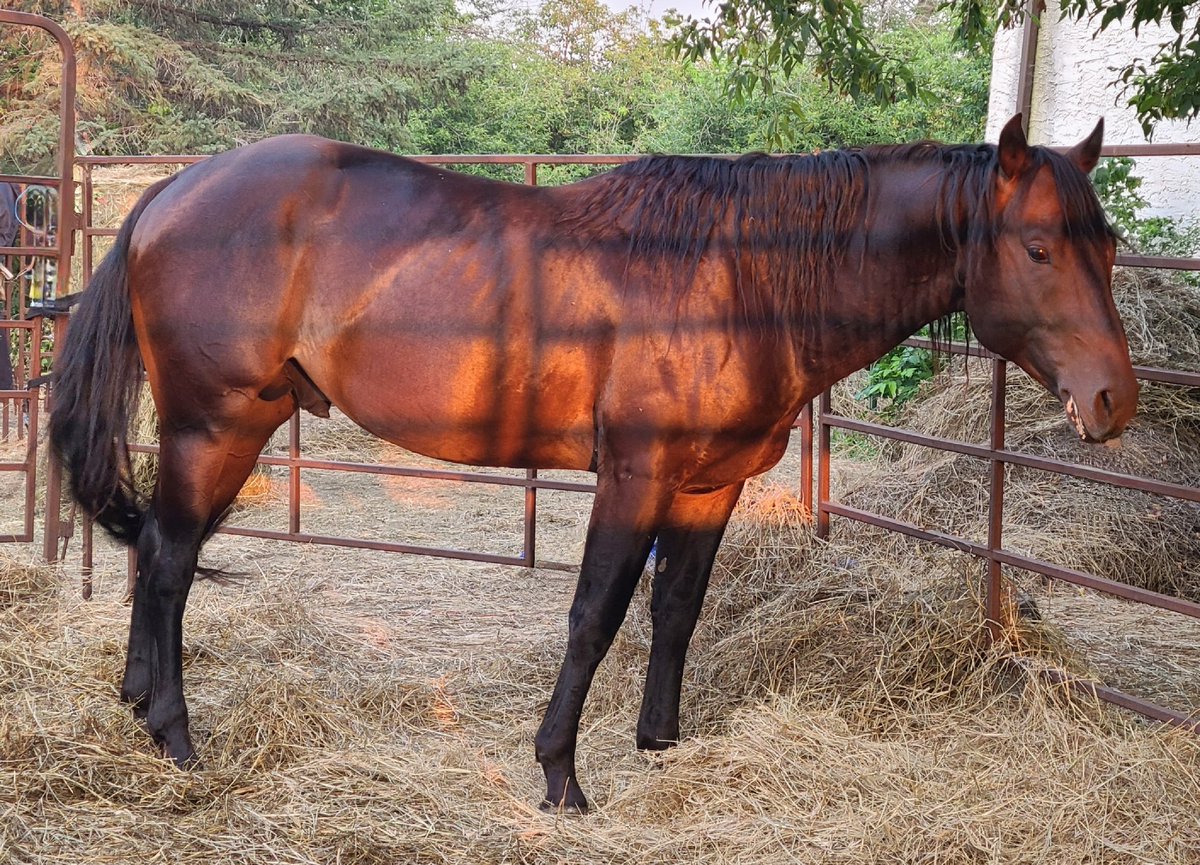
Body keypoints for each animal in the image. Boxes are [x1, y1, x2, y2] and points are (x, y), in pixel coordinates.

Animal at [48, 114, 1137, 811]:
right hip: (216, 424)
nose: (1113, 401)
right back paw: (177, 738)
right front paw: (560, 774)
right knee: (172, 560)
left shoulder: (709, 482)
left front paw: (661, 743)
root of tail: (170, 192)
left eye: (1109, 243)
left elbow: (675, 611)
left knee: (158, 552)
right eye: (1039, 246)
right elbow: (595, 615)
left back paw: (137, 704)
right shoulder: (635, 476)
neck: (740, 275)